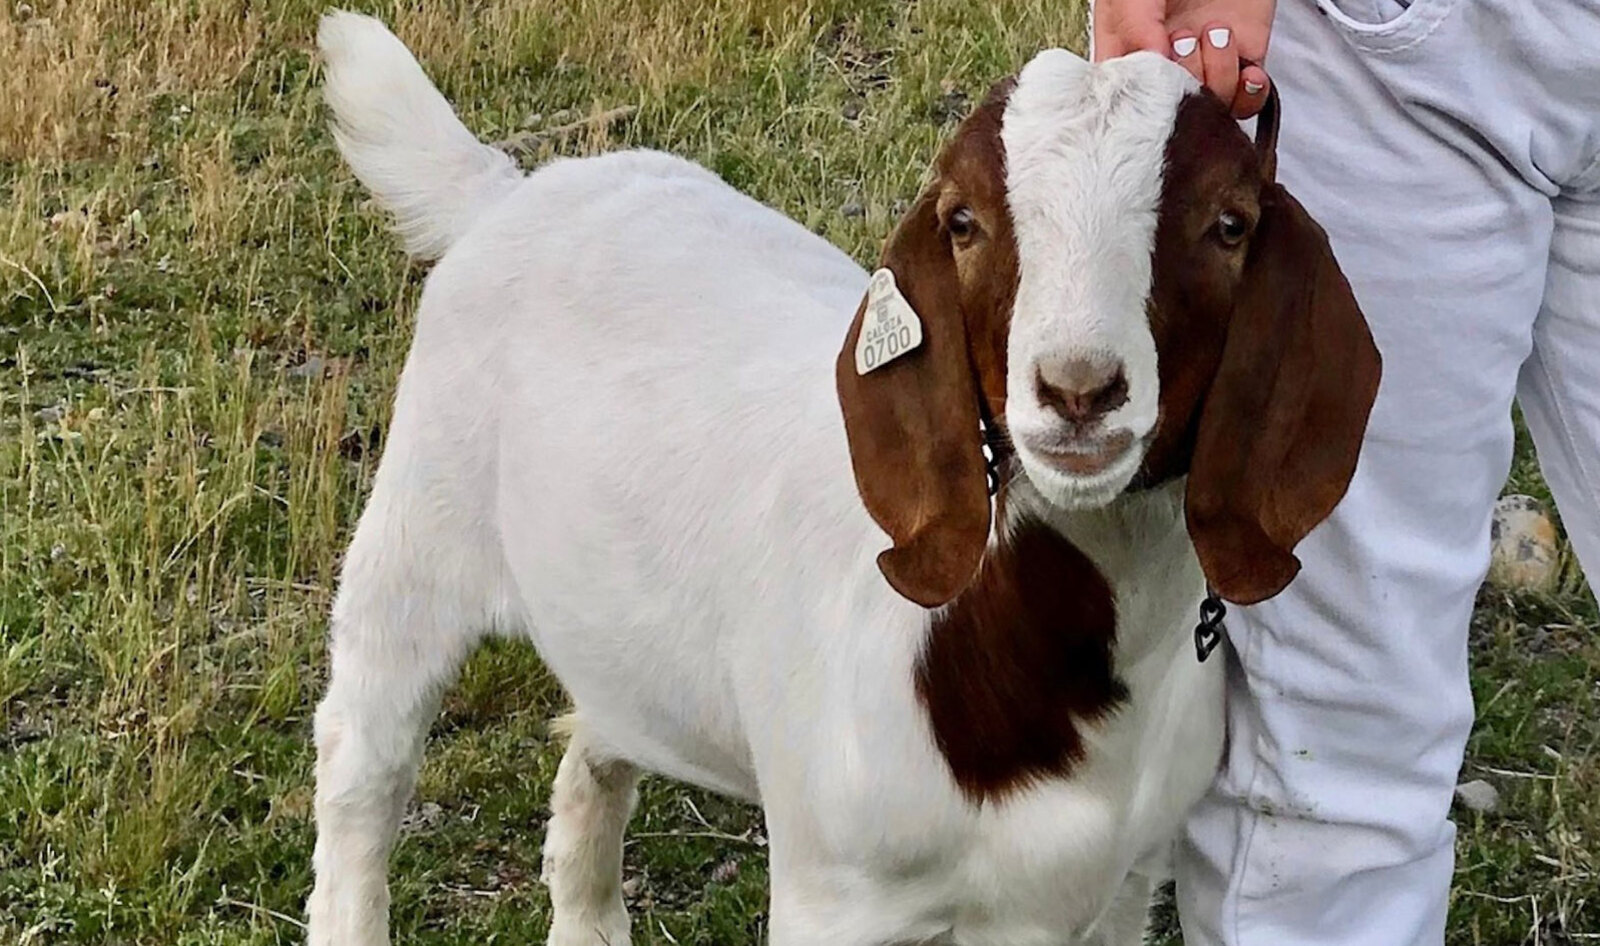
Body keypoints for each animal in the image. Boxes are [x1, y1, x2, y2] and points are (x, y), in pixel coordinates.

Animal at [307, 11, 1381, 946]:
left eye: (1230, 225)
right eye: (962, 221)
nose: (1079, 390)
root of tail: (509, 192)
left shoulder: (1124, 885)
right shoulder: (842, 897)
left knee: (596, 740)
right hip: (418, 528)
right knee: (364, 759)